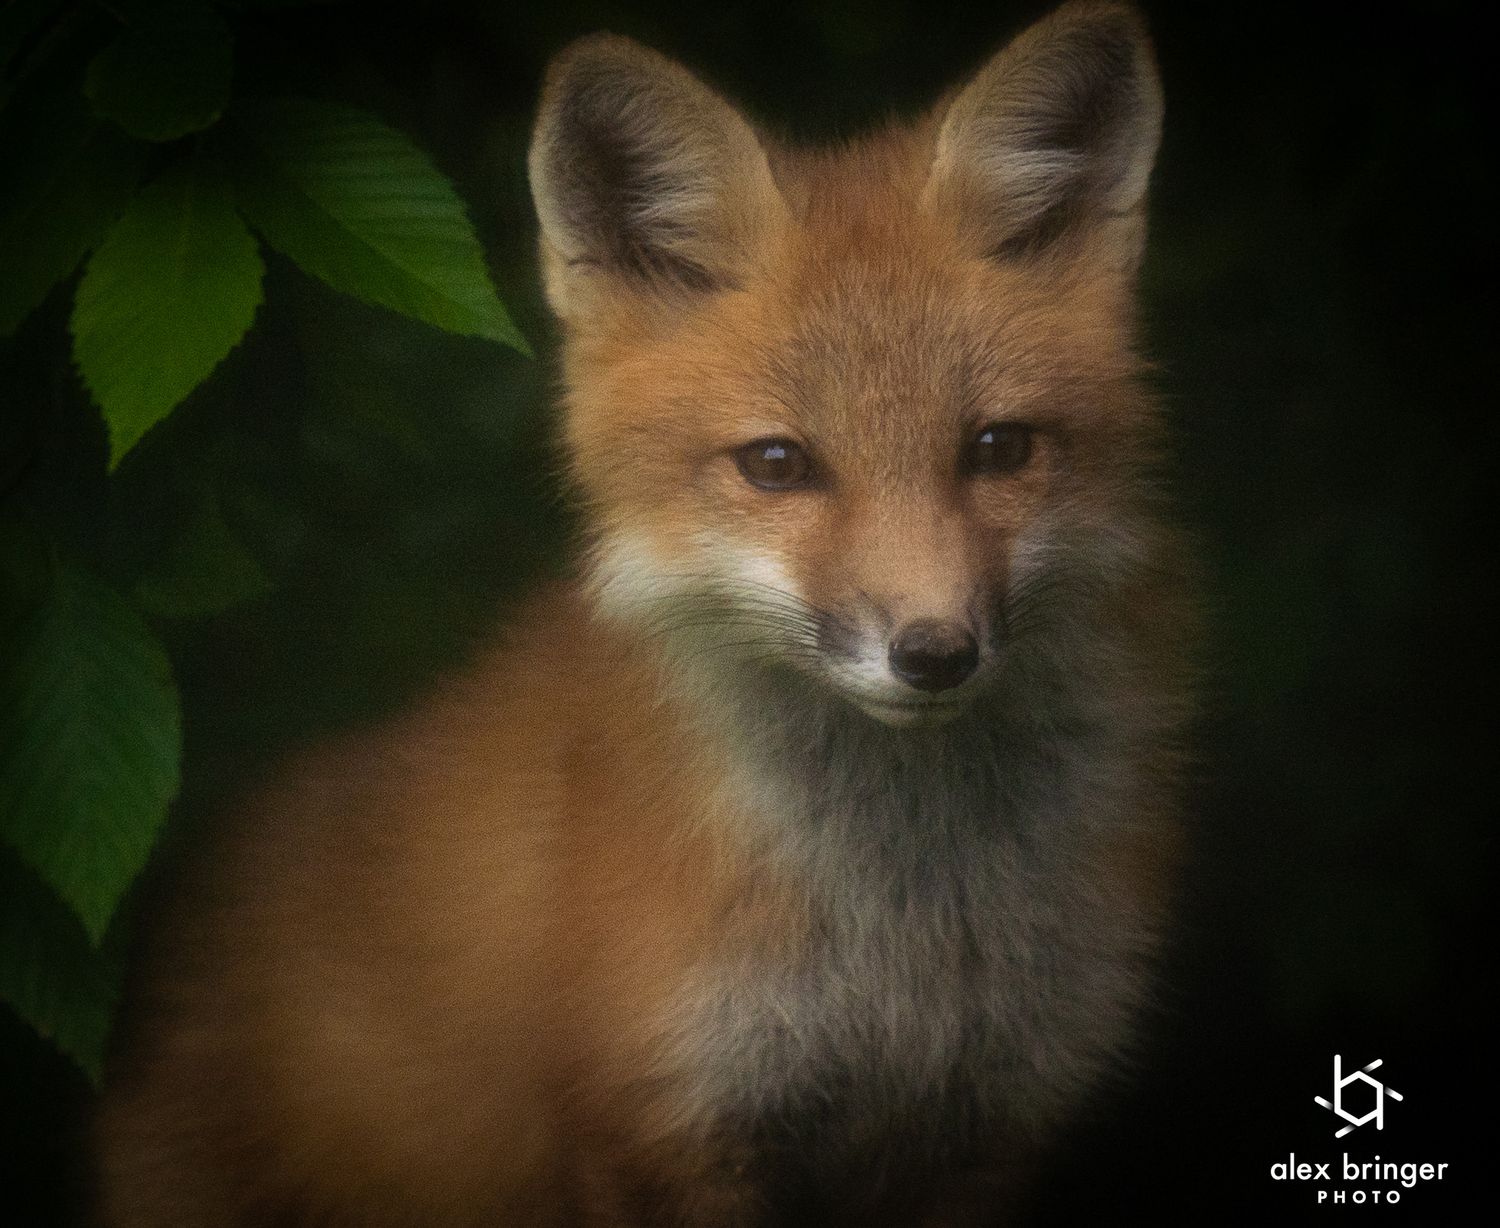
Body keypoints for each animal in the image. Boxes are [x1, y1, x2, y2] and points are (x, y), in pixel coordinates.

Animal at [95, 2, 1195, 1225]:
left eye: (999, 448)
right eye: (777, 464)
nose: (936, 653)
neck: (903, 938)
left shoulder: (986, 1135)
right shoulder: (658, 1127)